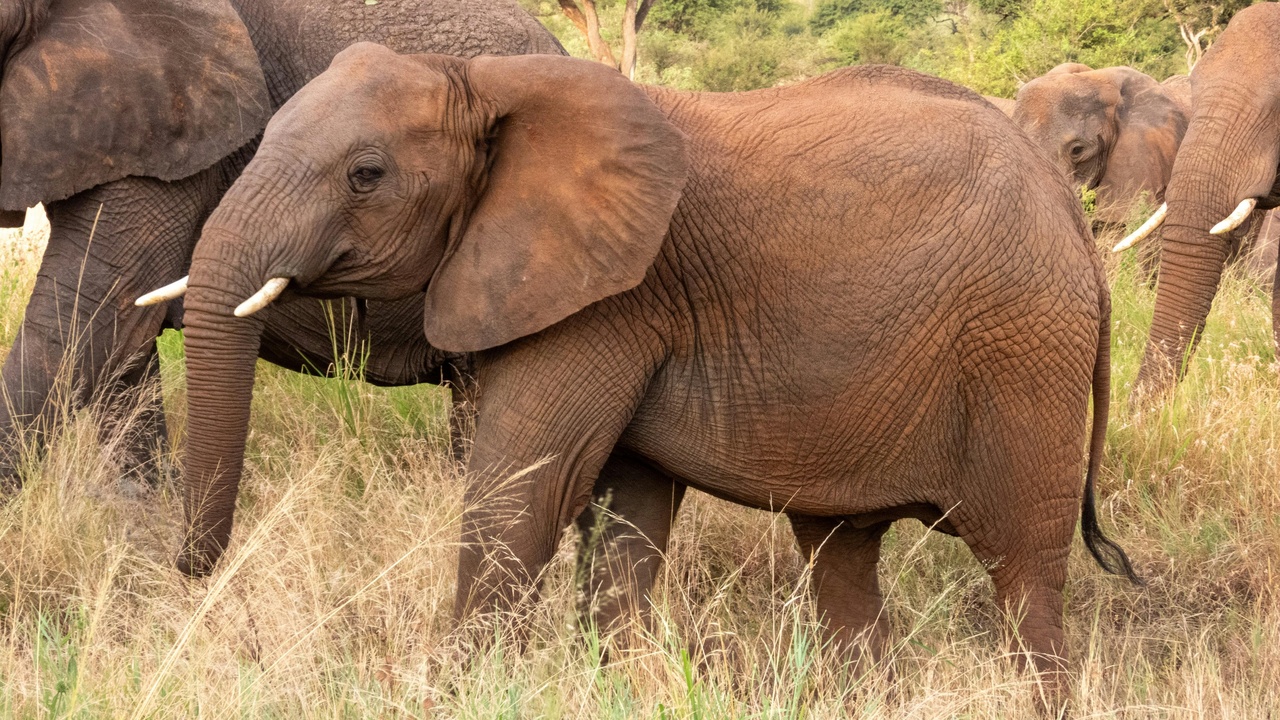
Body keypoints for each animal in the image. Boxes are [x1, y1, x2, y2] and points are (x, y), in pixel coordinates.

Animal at [168, 45, 1139, 682]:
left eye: (366, 174)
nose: (186, 570)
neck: (490, 81)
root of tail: (1073, 222)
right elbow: (623, 511)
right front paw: (624, 682)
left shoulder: (613, 296)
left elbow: (527, 486)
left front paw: (465, 691)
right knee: (841, 557)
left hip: (1024, 353)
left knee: (1022, 573)